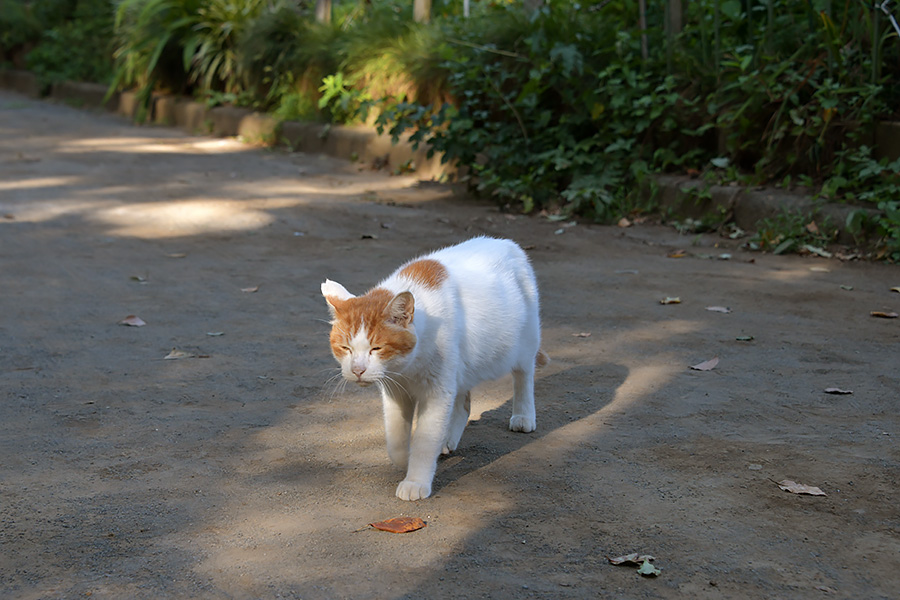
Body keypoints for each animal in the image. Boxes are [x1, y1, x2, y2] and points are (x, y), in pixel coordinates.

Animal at [324, 237, 548, 500]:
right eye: (345, 348)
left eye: (376, 348)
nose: (358, 369)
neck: (409, 367)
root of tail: (505, 242)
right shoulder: (396, 391)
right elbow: (395, 438)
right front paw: (405, 460)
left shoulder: (437, 391)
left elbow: (424, 440)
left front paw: (416, 481)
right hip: (461, 369)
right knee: (463, 403)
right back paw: (447, 438)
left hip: (525, 342)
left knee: (524, 375)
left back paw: (524, 415)